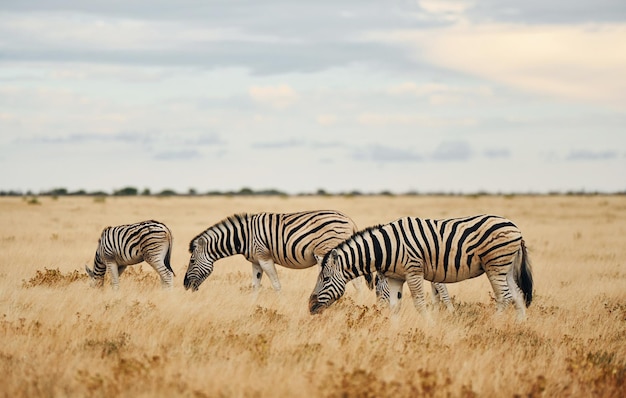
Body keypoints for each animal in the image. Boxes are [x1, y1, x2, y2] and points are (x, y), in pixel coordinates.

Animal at [182, 211, 370, 292]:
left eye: (191, 261)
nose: (185, 285)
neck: (244, 236)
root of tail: (349, 219)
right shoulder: (256, 262)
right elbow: (255, 286)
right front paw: (252, 308)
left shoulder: (265, 257)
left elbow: (276, 285)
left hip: (327, 252)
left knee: (356, 282)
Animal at [308, 215, 532, 320]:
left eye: (325, 279)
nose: (310, 307)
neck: (387, 247)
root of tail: (515, 227)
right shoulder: (395, 277)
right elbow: (394, 305)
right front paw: (393, 330)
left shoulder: (413, 271)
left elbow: (420, 304)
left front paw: (429, 325)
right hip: (506, 267)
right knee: (518, 295)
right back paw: (518, 327)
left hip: (495, 264)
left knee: (504, 296)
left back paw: (494, 324)